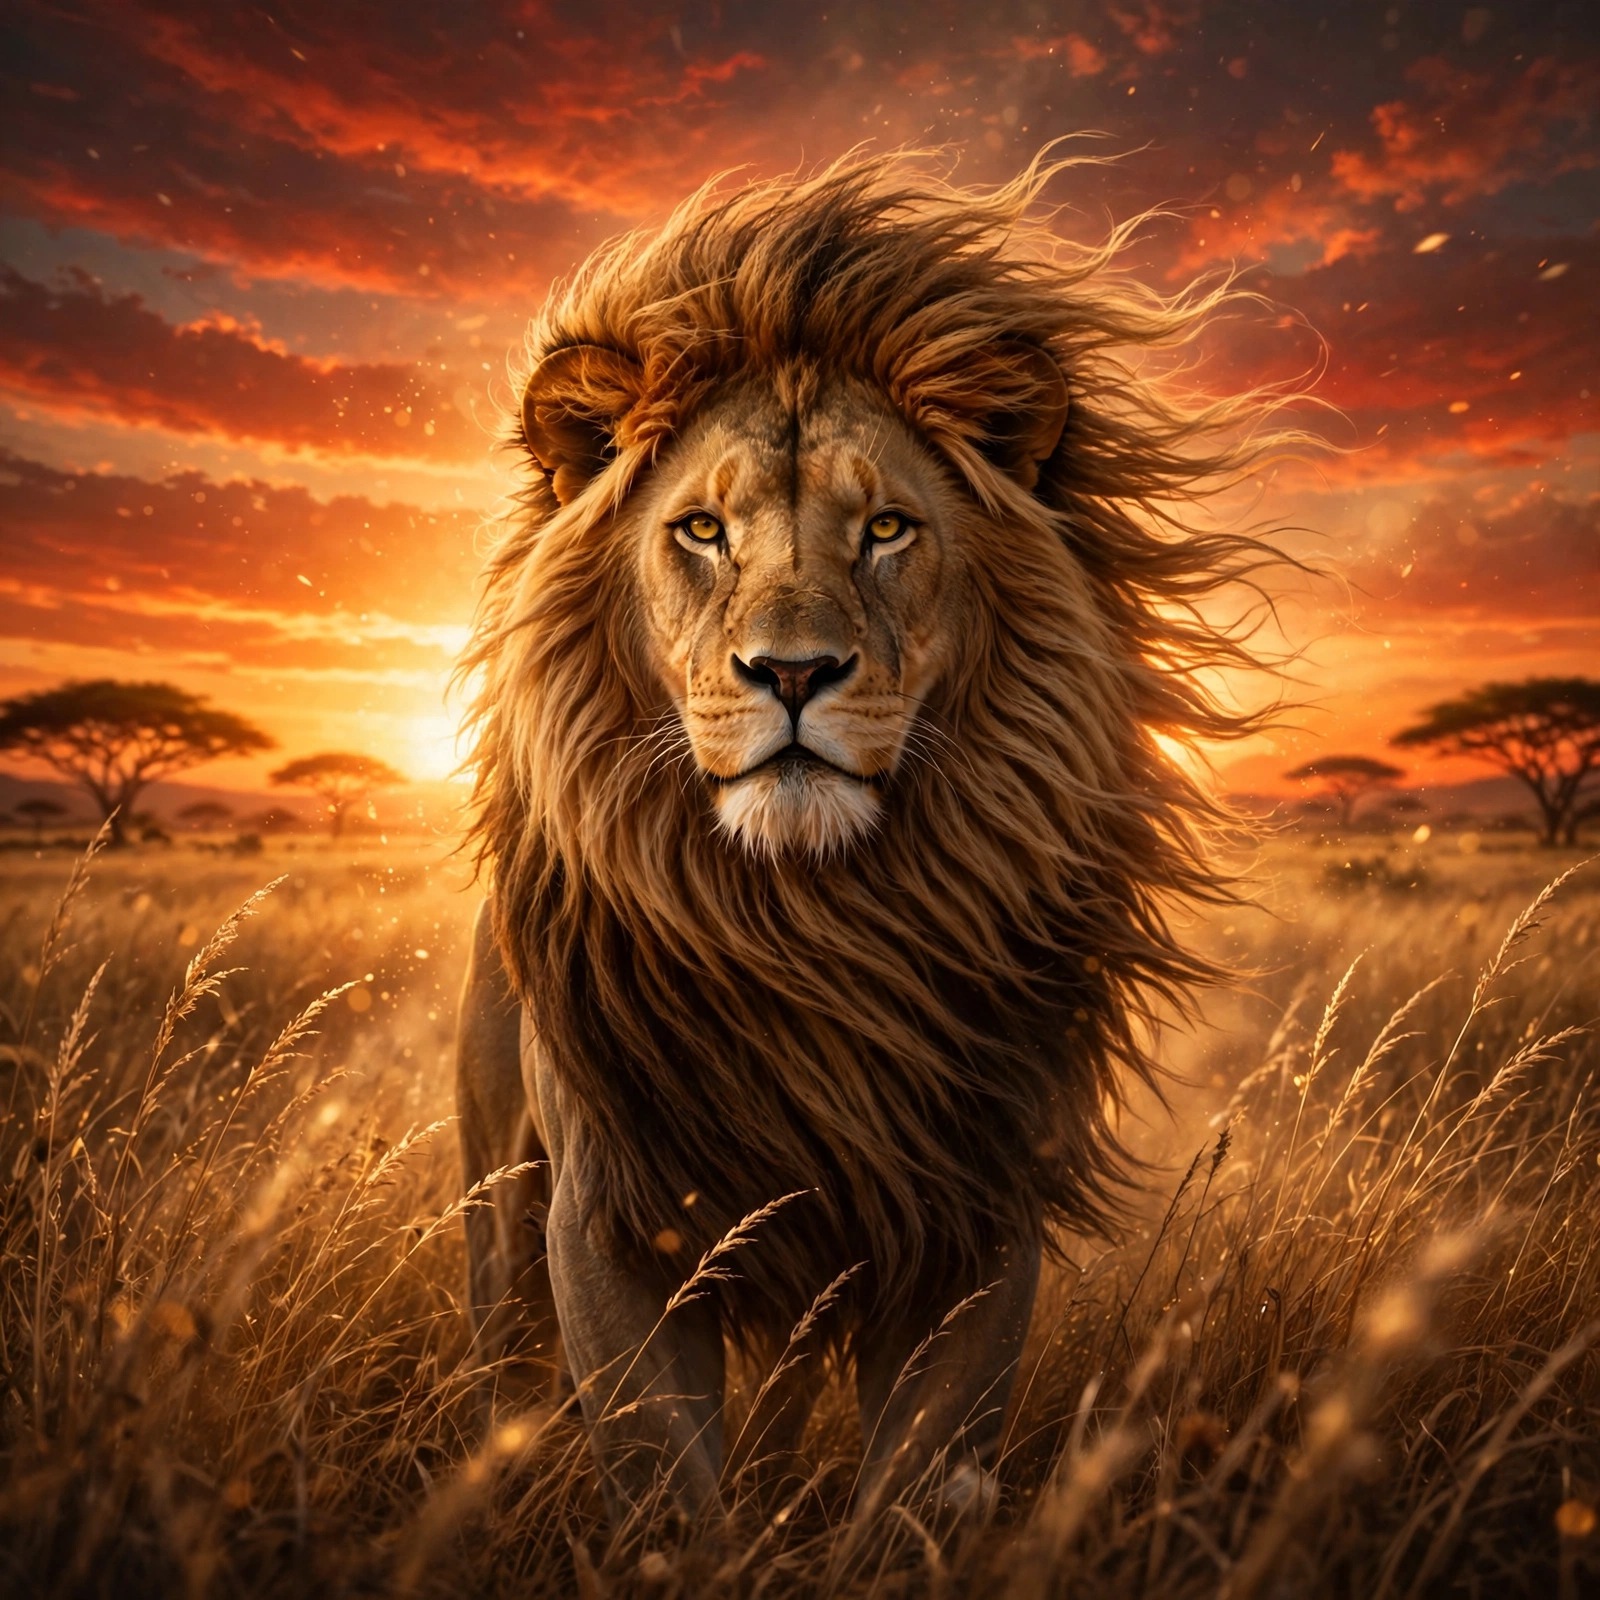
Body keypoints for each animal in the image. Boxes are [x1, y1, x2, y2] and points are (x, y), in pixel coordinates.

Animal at [455, 154, 1288, 1523]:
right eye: (701, 531)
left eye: (887, 528)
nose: (793, 672)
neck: (814, 921)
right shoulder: (610, 1212)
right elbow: (664, 1489)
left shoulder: (976, 1210)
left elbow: (901, 1491)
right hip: (498, 1200)